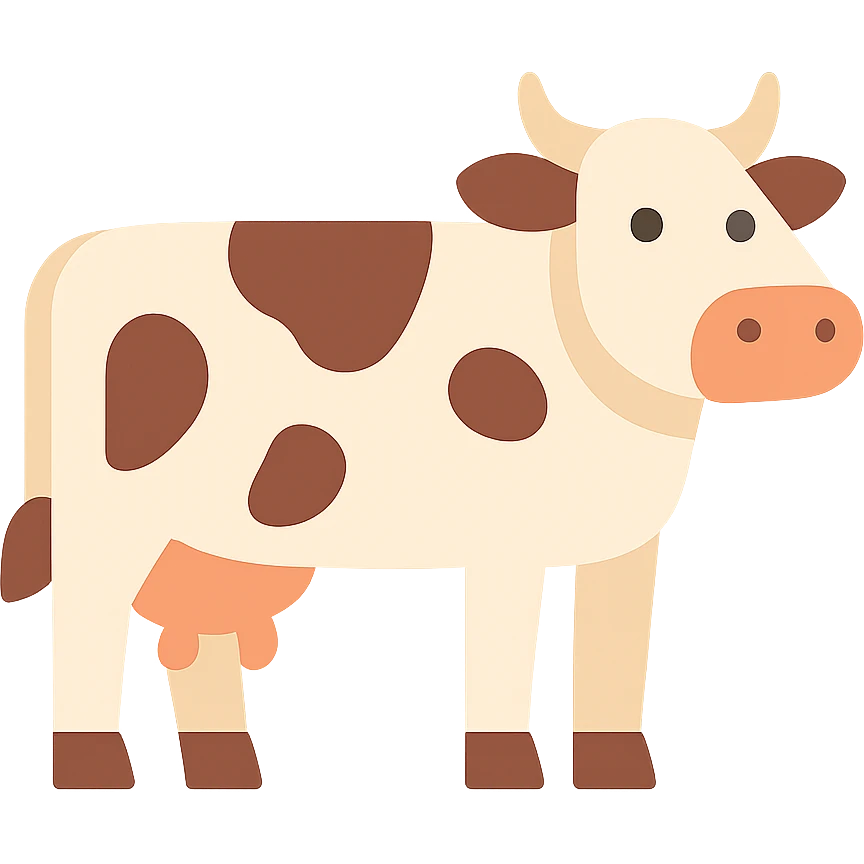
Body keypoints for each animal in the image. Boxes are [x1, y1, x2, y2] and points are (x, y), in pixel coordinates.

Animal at [1, 72, 859, 792]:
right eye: (642, 223)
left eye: (748, 217)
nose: (791, 317)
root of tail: (82, 246)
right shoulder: (501, 531)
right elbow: (505, 645)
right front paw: (507, 774)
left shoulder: (630, 538)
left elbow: (612, 652)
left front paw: (619, 775)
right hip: (110, 514)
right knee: (87, 610)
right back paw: (94, 771)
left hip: (214, 526)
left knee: (196, 627)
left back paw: (229, 772)